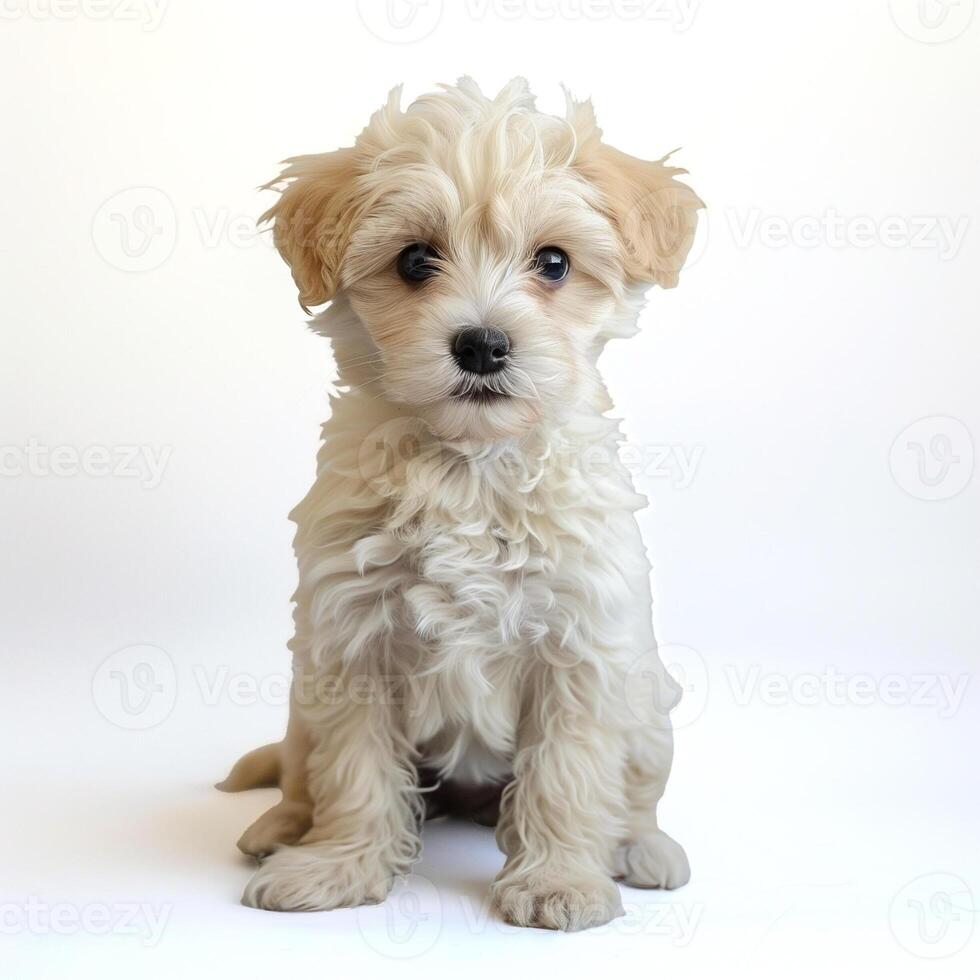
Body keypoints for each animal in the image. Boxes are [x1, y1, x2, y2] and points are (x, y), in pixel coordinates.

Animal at [218, 78, 700, 936]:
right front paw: (341, 868)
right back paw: (280, 829)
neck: (469, 466)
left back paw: (642, 848)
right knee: (303, 772)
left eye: (554, 262)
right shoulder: (351, 638)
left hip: (647, 705)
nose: (482, 344)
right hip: (302, 698)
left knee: (635, 792)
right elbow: (354, 771)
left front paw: (560, 880)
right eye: (415, 260)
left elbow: (570, 772)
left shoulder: (582, 642)